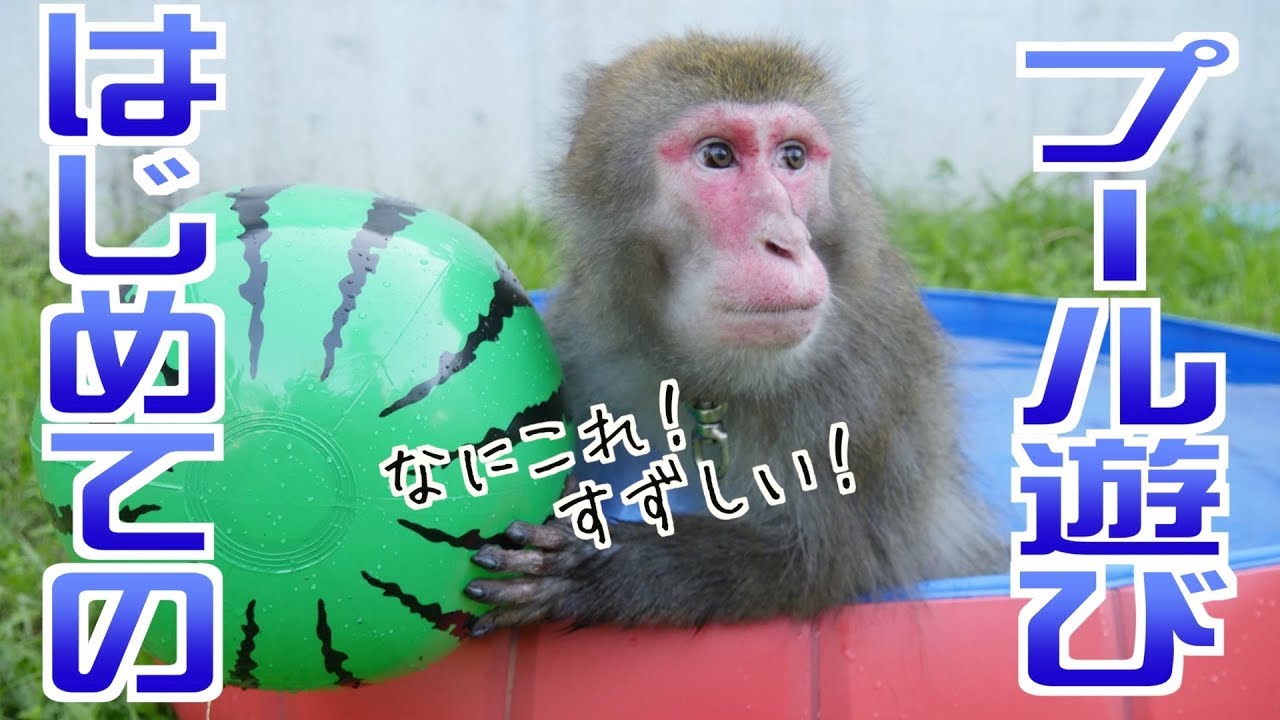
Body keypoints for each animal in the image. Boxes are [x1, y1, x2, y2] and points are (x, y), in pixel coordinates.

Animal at [462, 33, 1007, 636]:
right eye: (718, 156)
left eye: (793, 157)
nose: (786, 240)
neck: (710, 382)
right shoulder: (586, 339)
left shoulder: (865, 378)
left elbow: (824, 563)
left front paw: (602, 562)